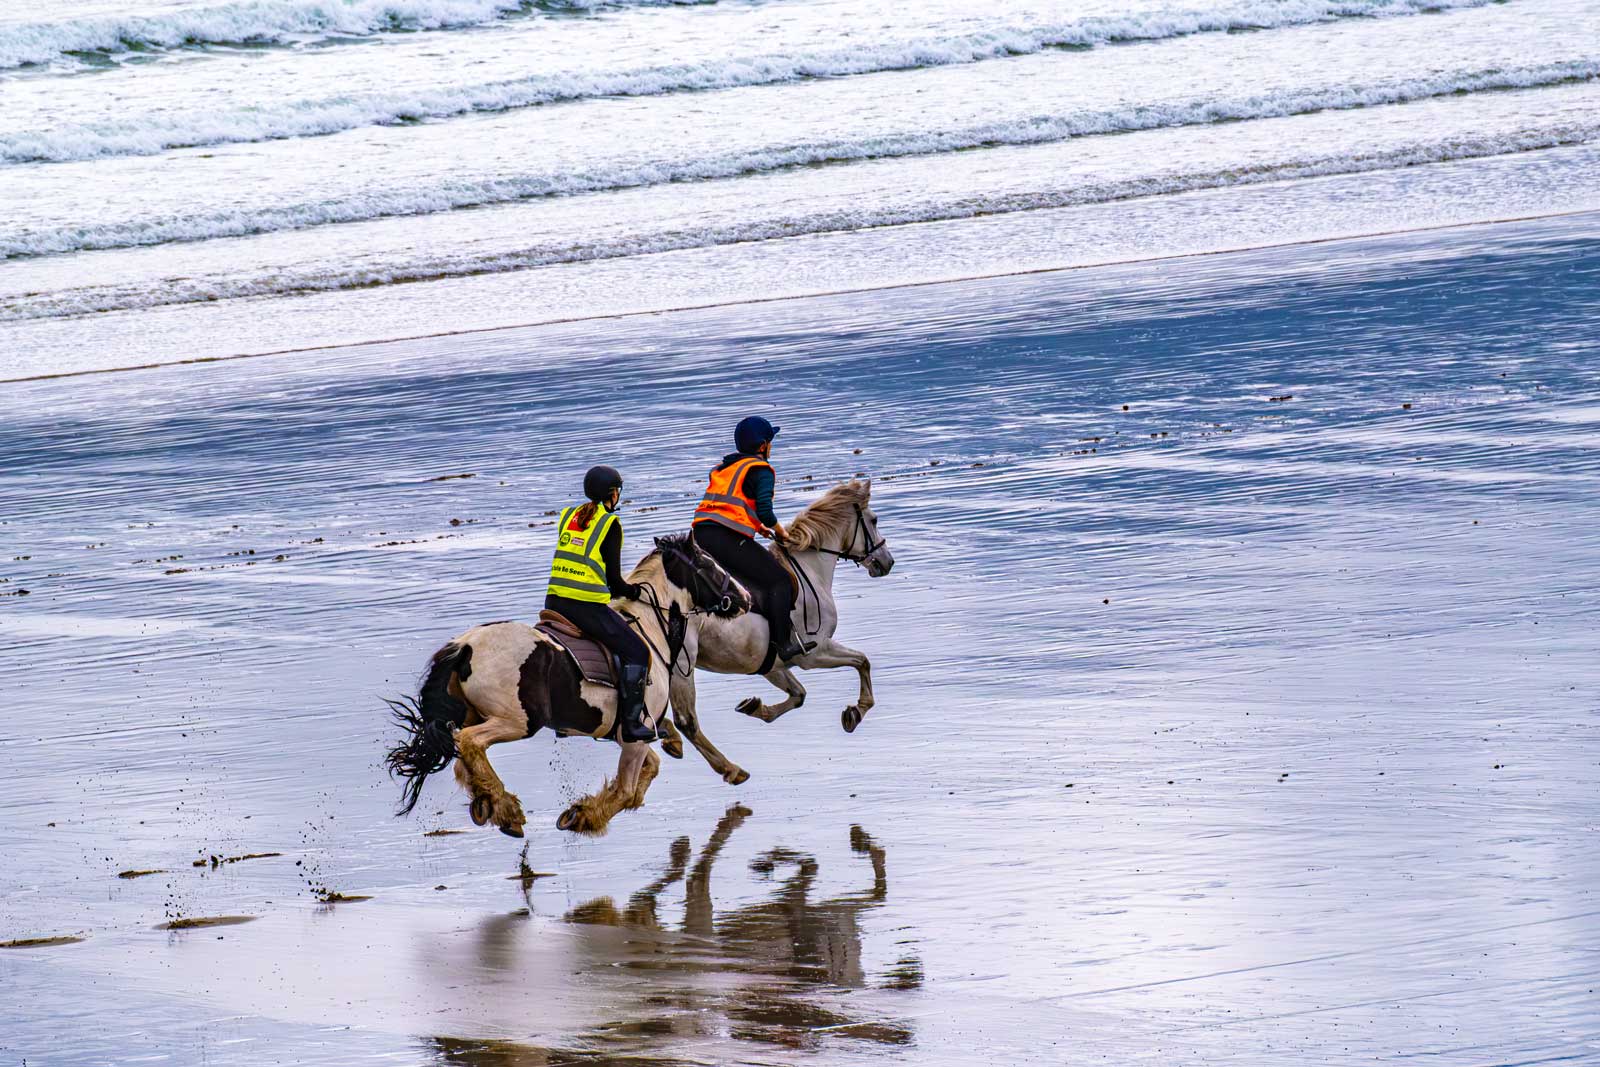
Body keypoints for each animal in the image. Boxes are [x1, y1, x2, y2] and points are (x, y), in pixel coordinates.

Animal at [384, 532, 750, 838]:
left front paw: (584, 811)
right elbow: (626, 790)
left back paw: (494, 805)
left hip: (476, 715)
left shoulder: (624, 734)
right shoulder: (636, 733)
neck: (649, 626)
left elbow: (647, 773)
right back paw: (508, 810)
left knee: (463, 761)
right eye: (708, 564)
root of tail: (465, 646)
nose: (743, 597)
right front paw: (583, 817)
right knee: (470, 744)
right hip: (518, 720)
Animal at [660, 479, 895, 786]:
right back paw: (728, 768)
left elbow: (798, 695)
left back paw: (669, 738)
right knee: (686, 721)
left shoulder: (772, 664)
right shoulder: (815, 653)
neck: (810, 569)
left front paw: (754, 707)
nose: (887, 562)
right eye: (874, 520)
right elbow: (862, 661)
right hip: (681, 667)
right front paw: (856, 712)